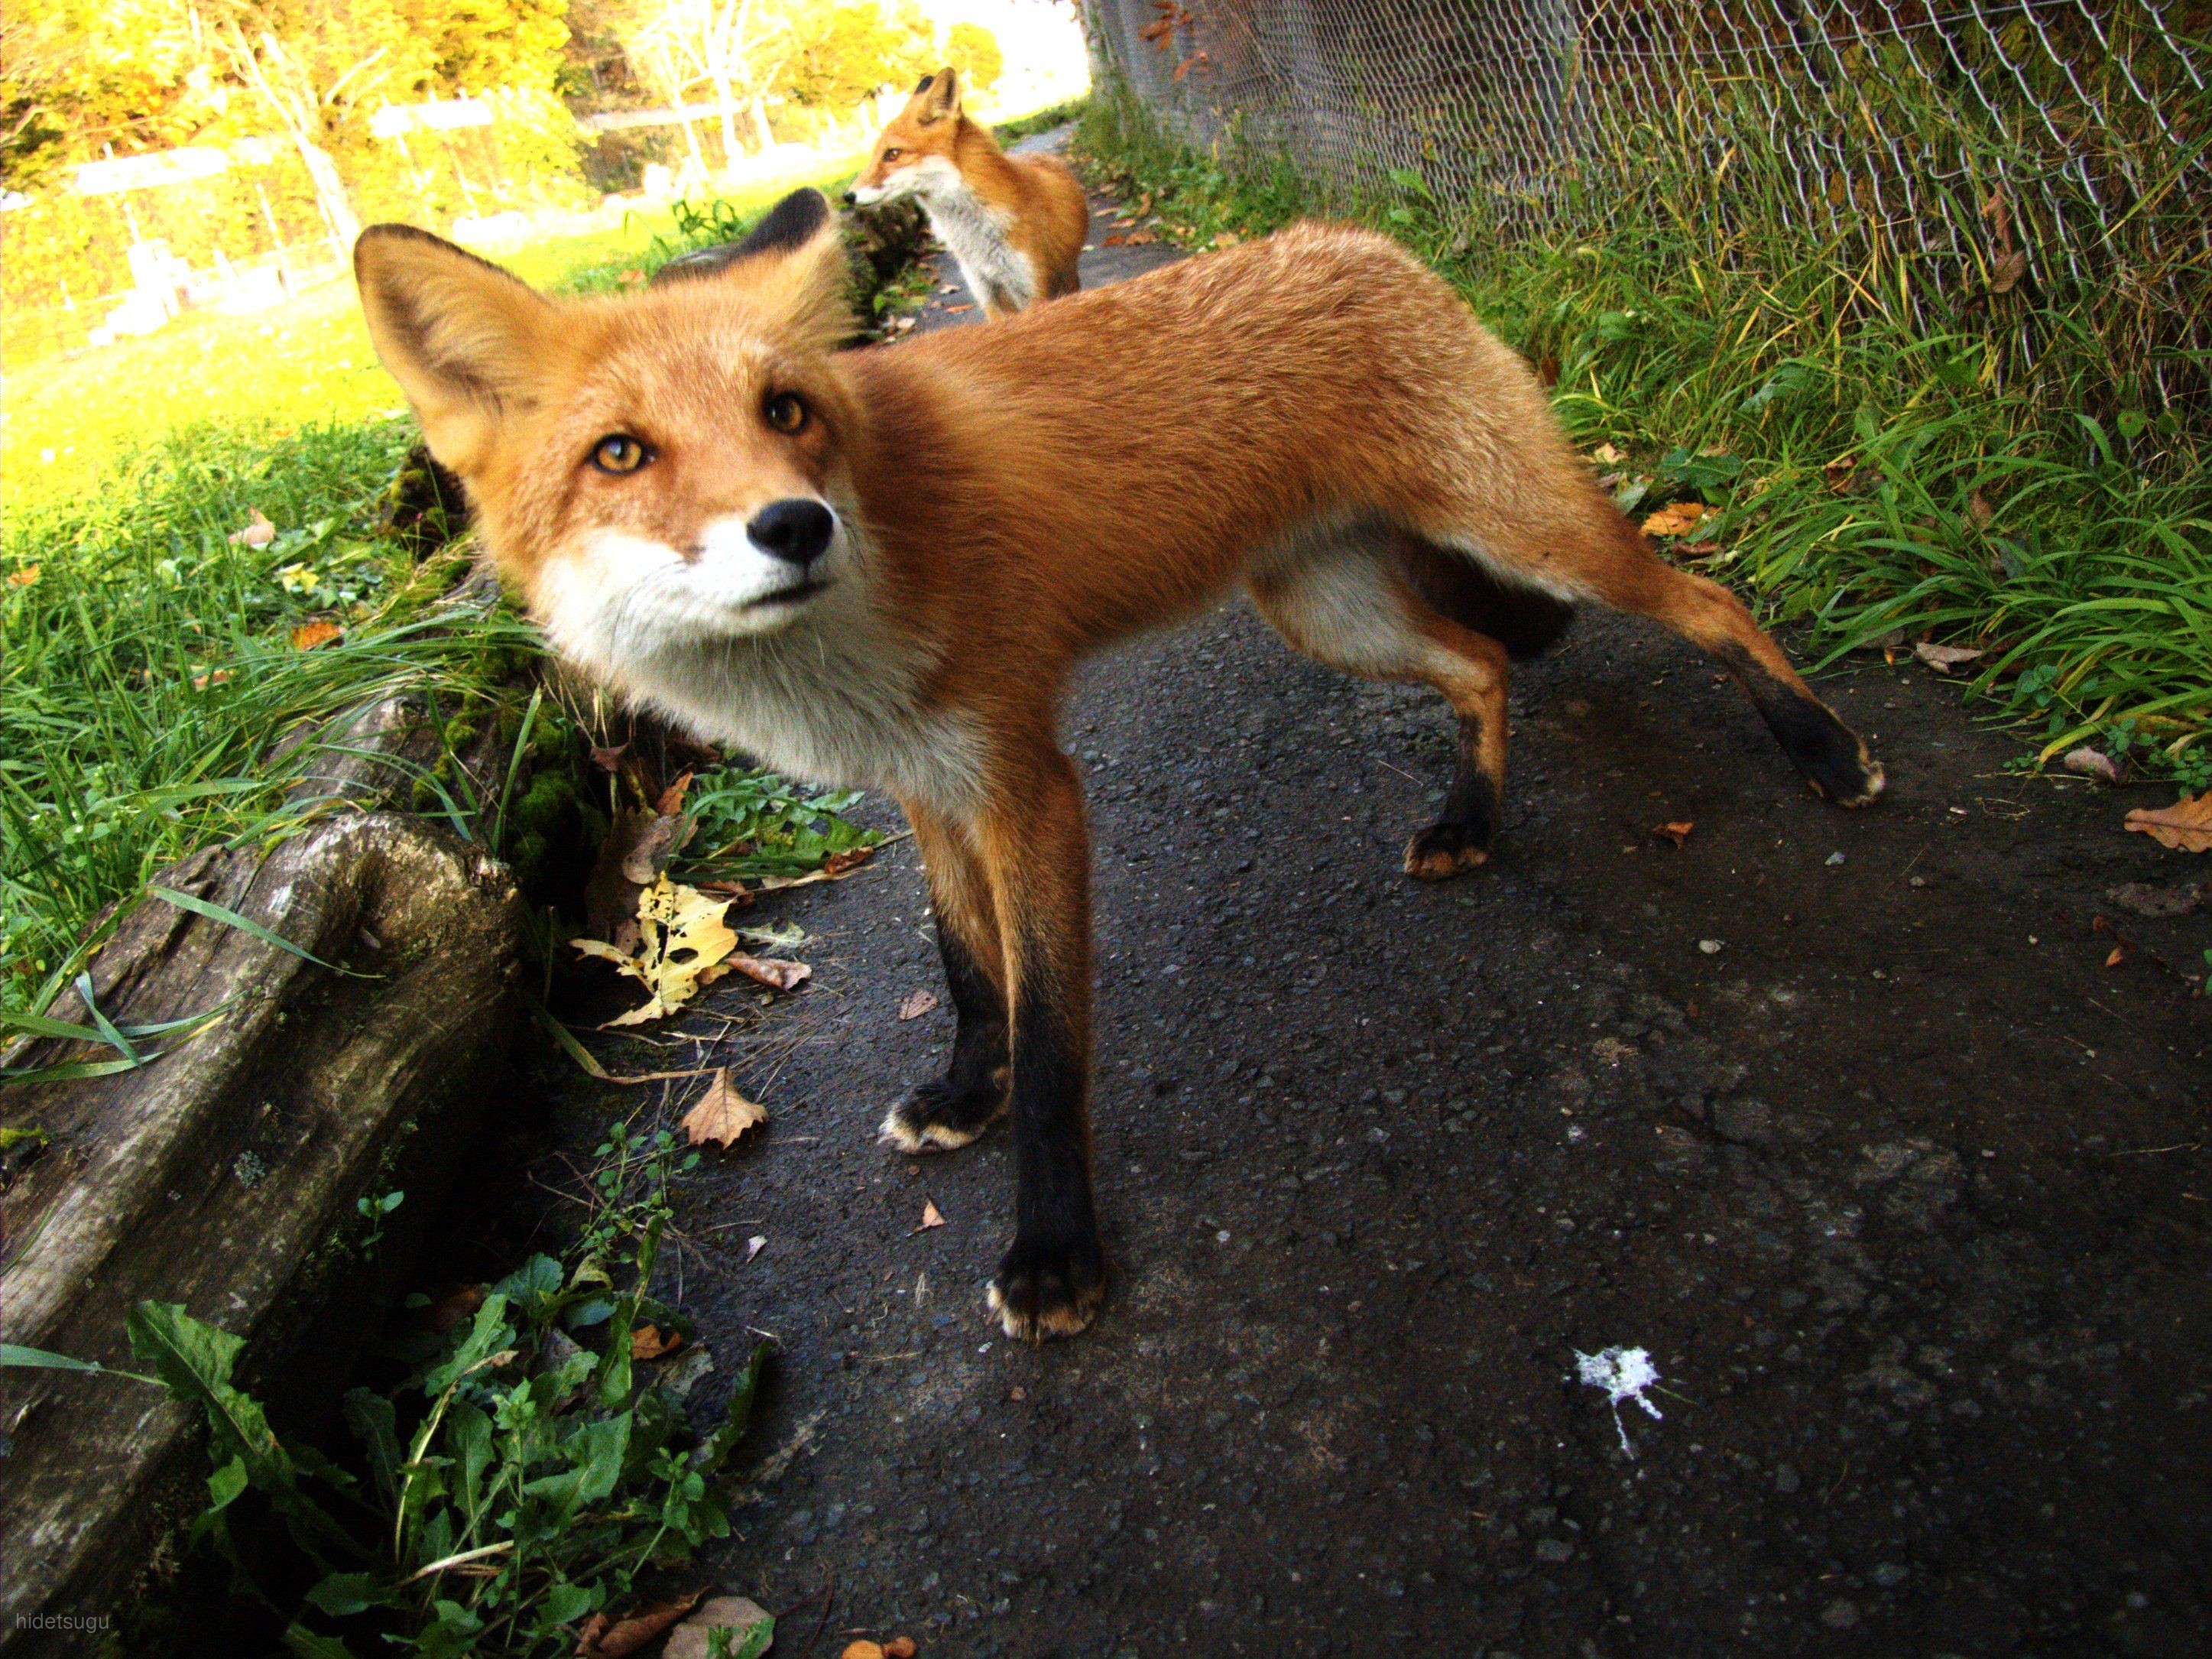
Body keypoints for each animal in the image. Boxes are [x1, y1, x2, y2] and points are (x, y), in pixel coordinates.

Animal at [358, 187, 1884, 1345]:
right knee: (1483, 666)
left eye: (786, 411)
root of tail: (1358, 239)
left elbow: (1049, 1046)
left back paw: (1819, 748)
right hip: (1326, 611)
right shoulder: (926, 784)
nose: (793, 526)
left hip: (1525, 532)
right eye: (620, 453)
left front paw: (1052, 1250)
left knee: (1704, 597)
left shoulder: (1029, 783)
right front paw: (957, 1095)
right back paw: (1469, 817)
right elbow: (965, 970)